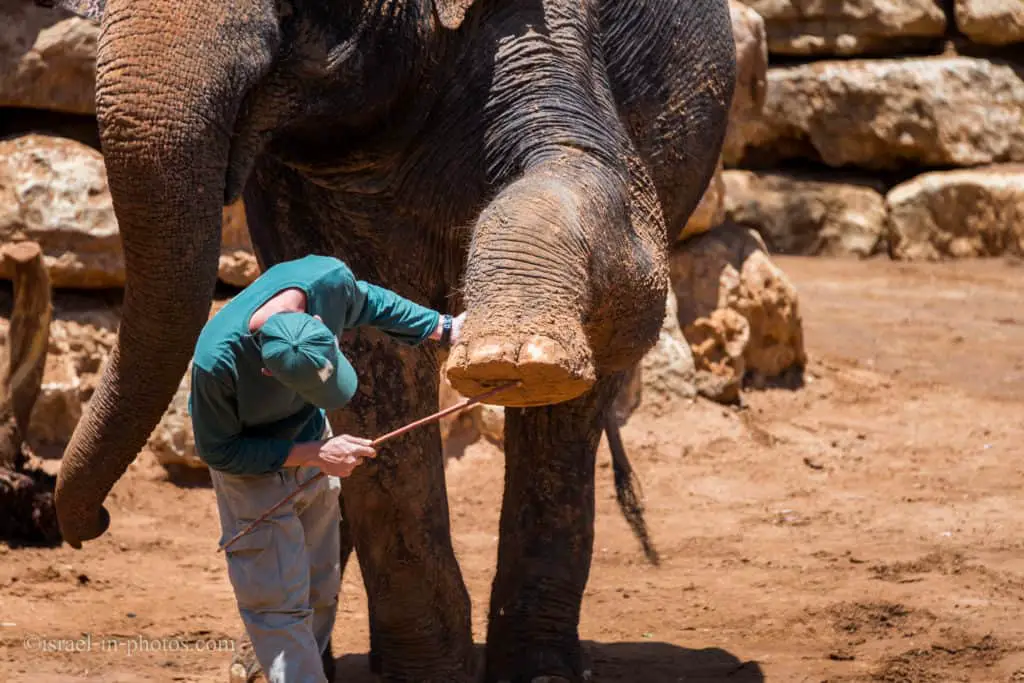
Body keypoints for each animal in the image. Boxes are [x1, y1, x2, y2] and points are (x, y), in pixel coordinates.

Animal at [41, 0, 737, 679]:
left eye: (288, 8)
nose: (94, 523)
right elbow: (368, 350)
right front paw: (425, 672)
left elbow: (618, 217)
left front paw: (503, 354)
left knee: (567, 420)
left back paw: (540, 670)